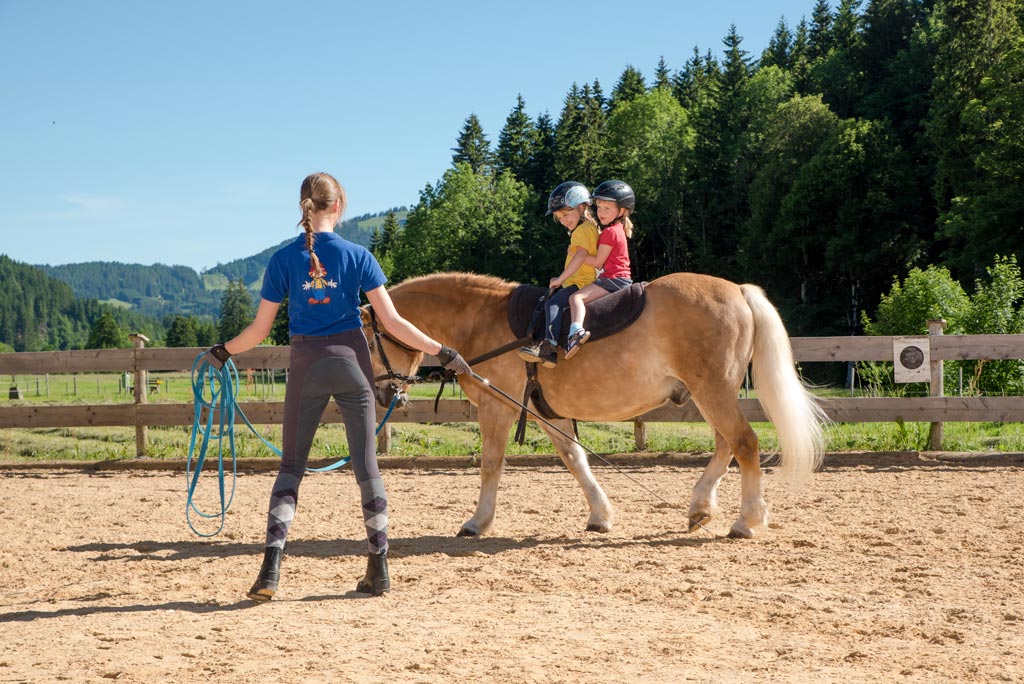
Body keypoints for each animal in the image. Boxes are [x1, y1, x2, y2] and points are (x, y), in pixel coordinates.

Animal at [360, 270, 823, 540]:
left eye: (367, 339)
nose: (382, 393)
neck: (481, 318)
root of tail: (739, 292)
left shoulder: (498, 408)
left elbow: (491, 464)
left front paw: (478, 522)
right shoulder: (545, 411)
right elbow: (574, 458)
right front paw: (600, 515)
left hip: (714, 390)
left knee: (743, 443)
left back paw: (747, 520)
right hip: (711, 393)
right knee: (726, 445)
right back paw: (700, 507)